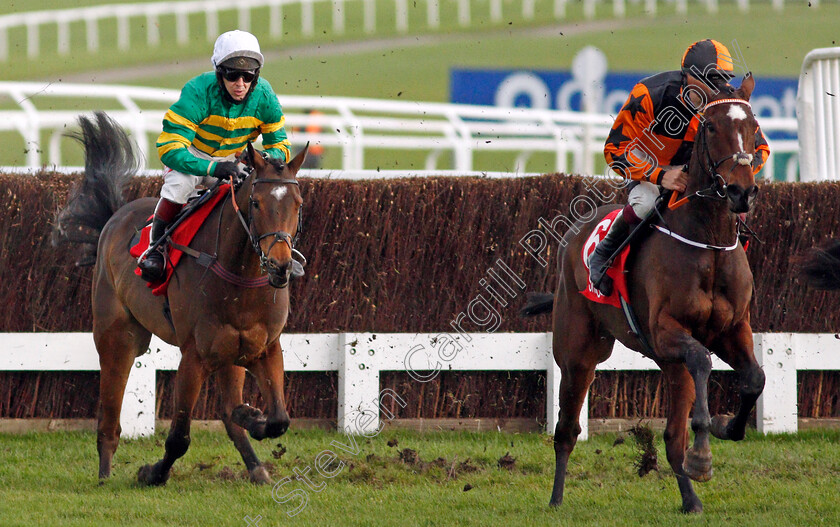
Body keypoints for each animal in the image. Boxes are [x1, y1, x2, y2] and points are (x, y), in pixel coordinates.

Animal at [50, 113, 306, 488]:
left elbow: (278, 419)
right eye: (257, 203)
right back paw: (105, 472)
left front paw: (252, 416)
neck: (241, 278)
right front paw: (151, 472)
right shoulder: (194, 356)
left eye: (297, 204)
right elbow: (179, 438)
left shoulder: (264, 348)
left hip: (229, 353)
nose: (280, 266)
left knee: (231, 410)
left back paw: (256, 465)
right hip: (119, 336)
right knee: (109, 411)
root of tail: (115, 216)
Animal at [524, 76, 768, 512]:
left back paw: (691, 501)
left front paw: (727, 428)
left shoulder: (732, 328)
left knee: (672, 438)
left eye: (753, 127)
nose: (742, 192)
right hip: (578, 353)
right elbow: (702, 361)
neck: (707, 241)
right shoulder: (666, 330)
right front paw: (703, 454)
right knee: (566, 430)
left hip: (664, 362)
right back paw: (555, 499)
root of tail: (573, 238)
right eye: (710, 127)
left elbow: (754, 378)